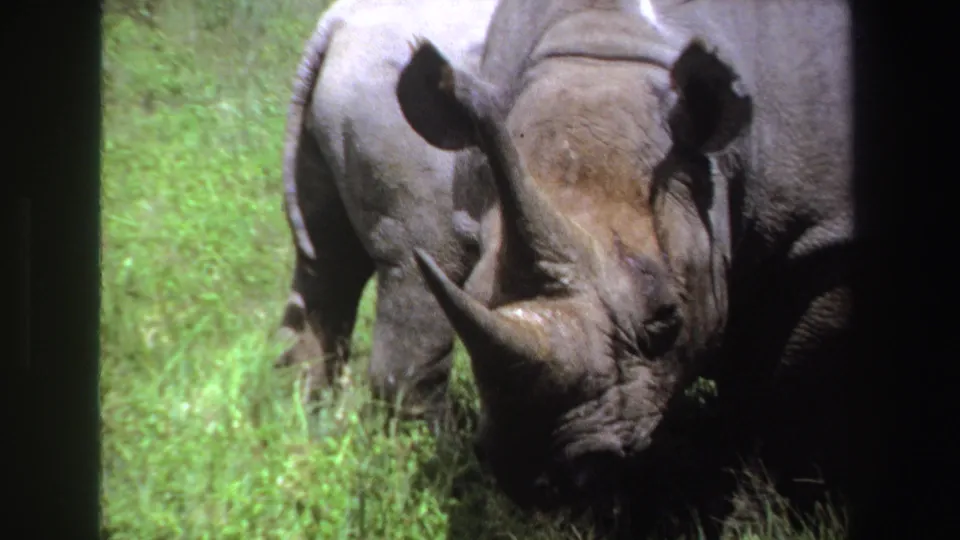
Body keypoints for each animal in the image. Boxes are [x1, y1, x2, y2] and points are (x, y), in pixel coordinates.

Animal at [396, 0, 854, 523]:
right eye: (470, 296)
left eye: (666, 320)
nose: (538, 479)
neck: (609, 49)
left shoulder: (821, 238)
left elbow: (785, 394)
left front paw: (775, 511)